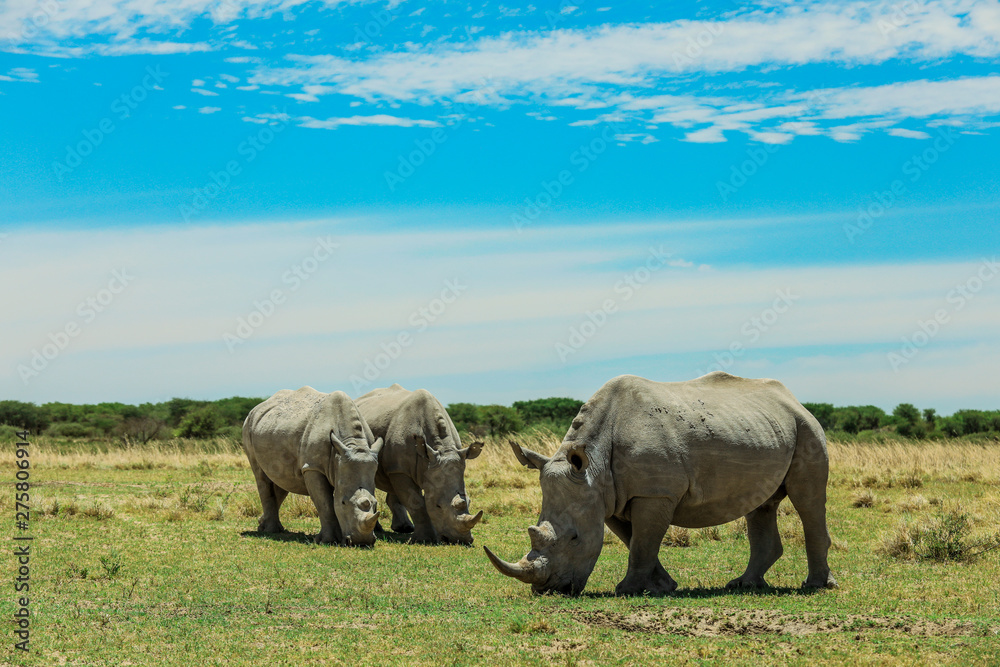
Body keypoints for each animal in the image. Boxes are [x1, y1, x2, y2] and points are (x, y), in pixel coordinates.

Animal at [242, 387, 383, 546]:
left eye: (375, 503)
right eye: (343, 502)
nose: (361, 542)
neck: (353, 444)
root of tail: (257, 408)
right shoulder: (312, 467)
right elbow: (325, 503)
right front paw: (328, 540)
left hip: (271, 428)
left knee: (281, 480)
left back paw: (263, 525)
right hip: (247, 427)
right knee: (261, 476)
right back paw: (271, 531)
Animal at [356, 384, 483, 544]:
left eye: (470, 501)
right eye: (437, 506)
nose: (461, 540)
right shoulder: (399, 470)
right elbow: (417, 502)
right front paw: (426, 538)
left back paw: (404, 528)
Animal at [485, 372, 837, 595]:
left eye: (574, 538)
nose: (548, 589)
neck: (593, 468)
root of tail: (792, 399)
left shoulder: (654, 494)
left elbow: (643, 542)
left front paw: (627, 590)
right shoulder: (610, 497)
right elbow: (635, 541)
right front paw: (662, 587)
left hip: (807, 428)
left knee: (808, 500)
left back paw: (816, 586)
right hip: (765, 427)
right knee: (761, 504)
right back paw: (744, 585)